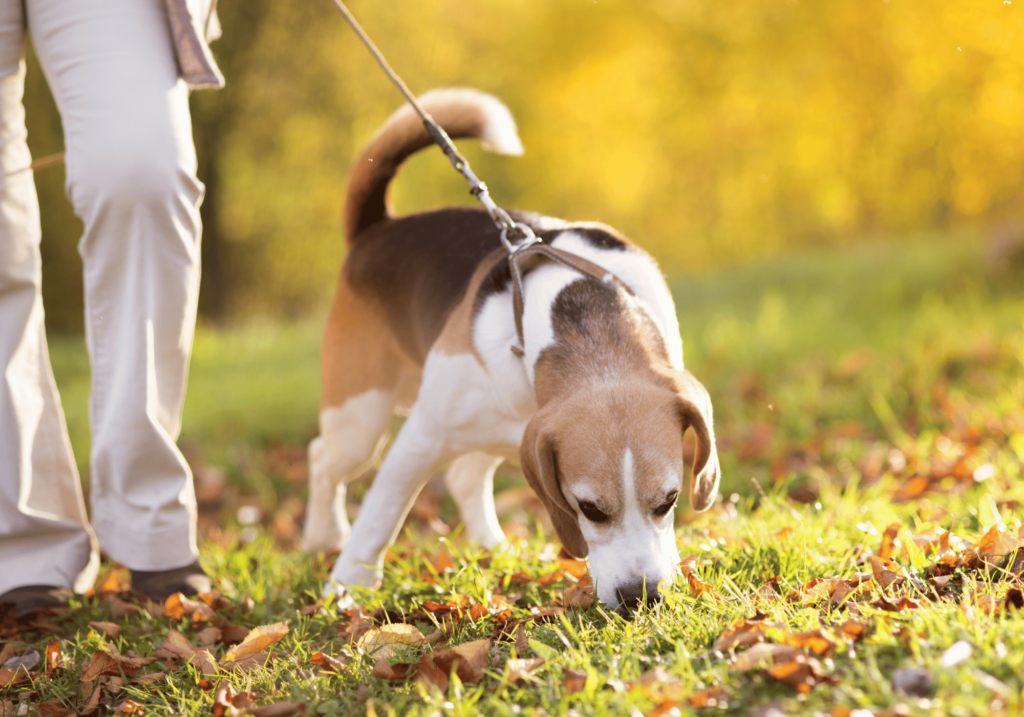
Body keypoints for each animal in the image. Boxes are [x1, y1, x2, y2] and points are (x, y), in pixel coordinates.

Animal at [303, 87, 720, 606]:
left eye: (669, 501)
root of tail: (377, 228)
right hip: (359, 419)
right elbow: (380, 518)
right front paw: (345, 591)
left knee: (463, 477)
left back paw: (492, 548)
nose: (639, 596)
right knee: (322, 458)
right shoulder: (421, 437)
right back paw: (322, 536)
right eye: (589, 508)